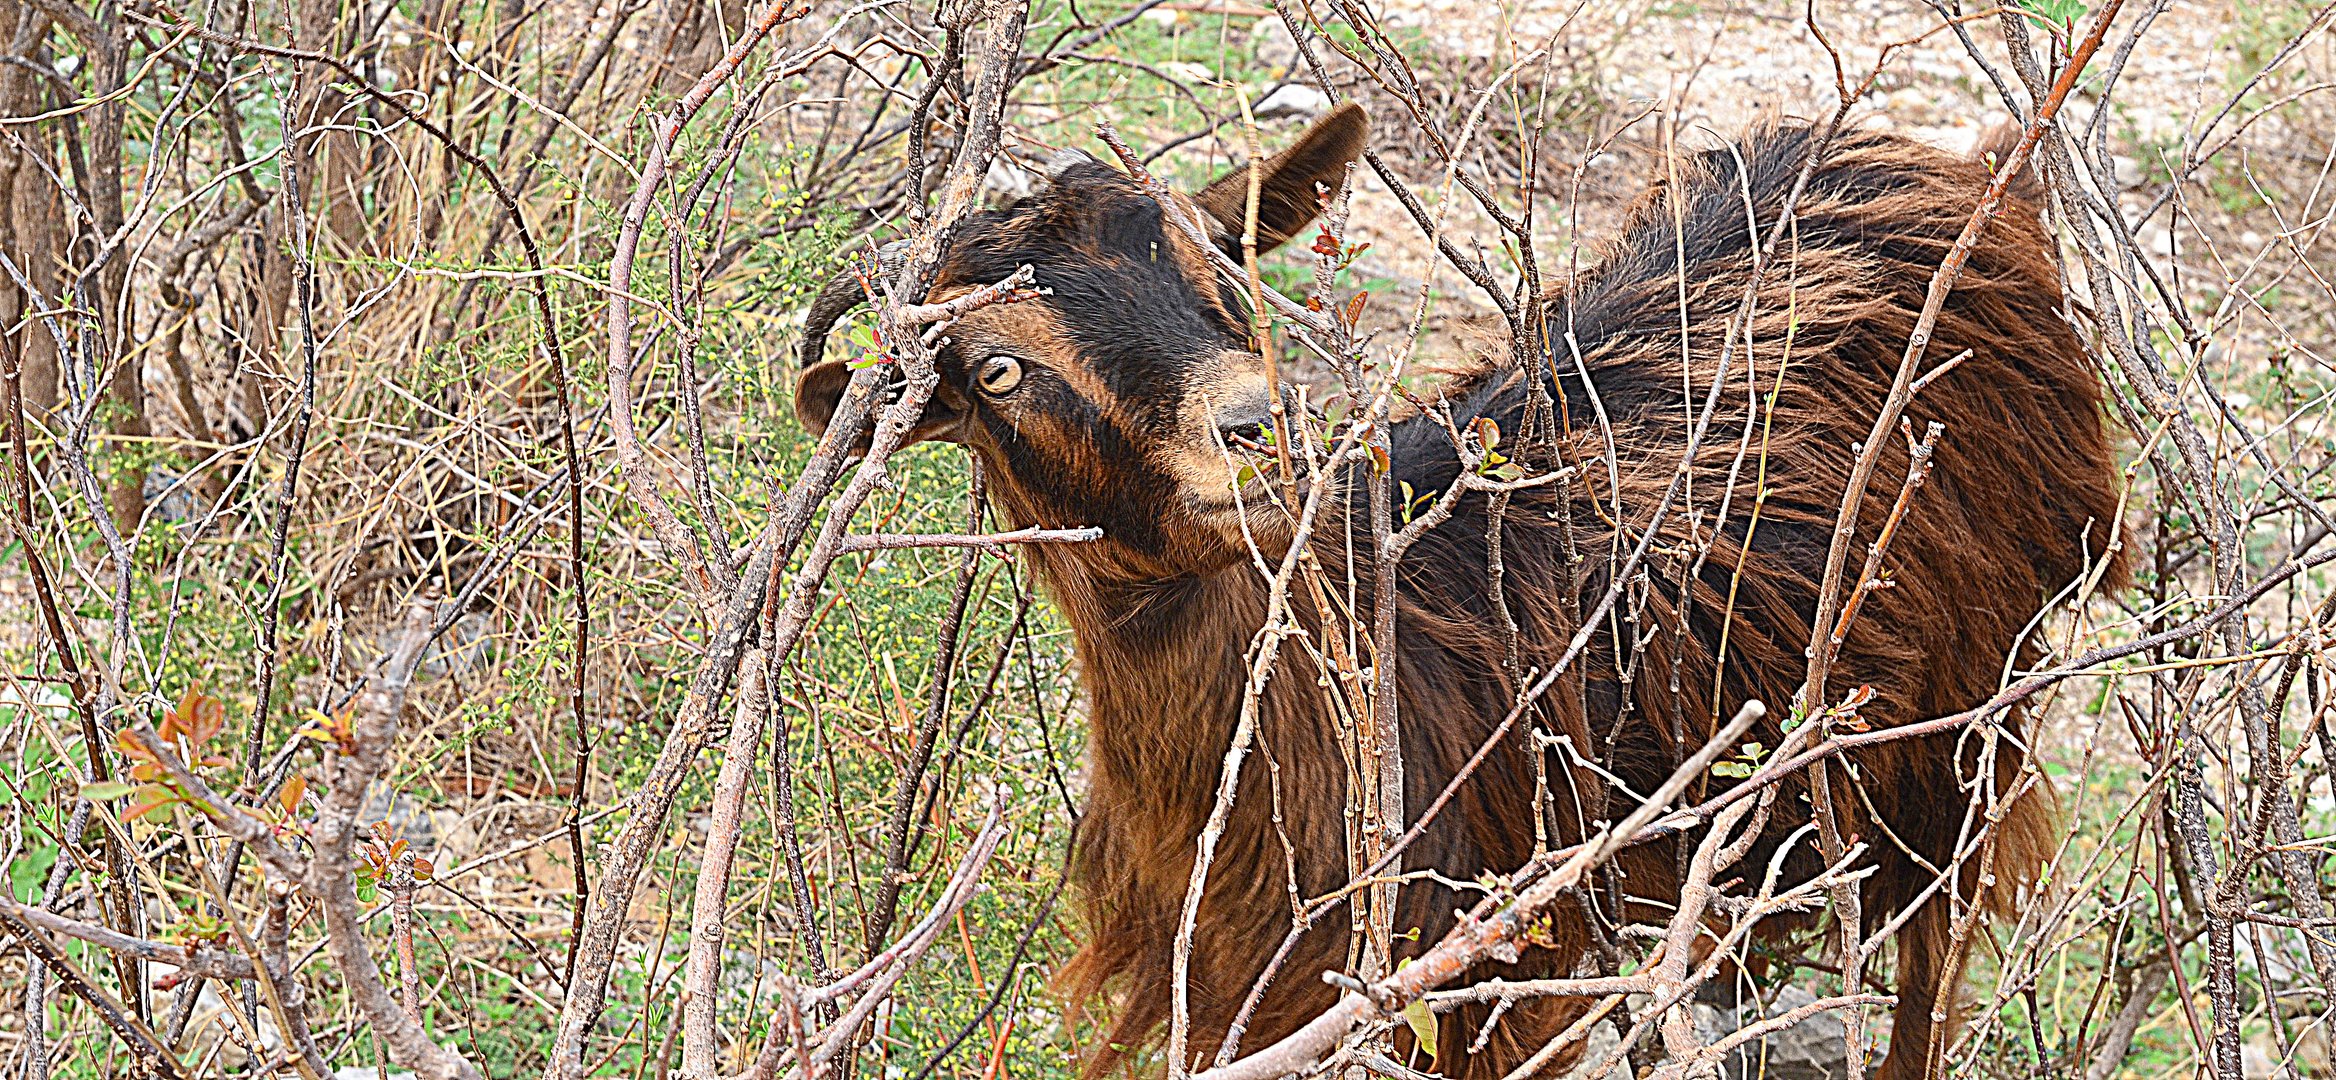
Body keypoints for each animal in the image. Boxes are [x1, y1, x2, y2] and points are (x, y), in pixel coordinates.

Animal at [794, 103, 2130, 1080]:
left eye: (1222, 266)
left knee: (1926, 962)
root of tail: (1940, 167)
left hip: (1965, 713)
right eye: (996, 371)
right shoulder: (1246, 995)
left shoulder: (1480, 982)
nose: (1255, 428)